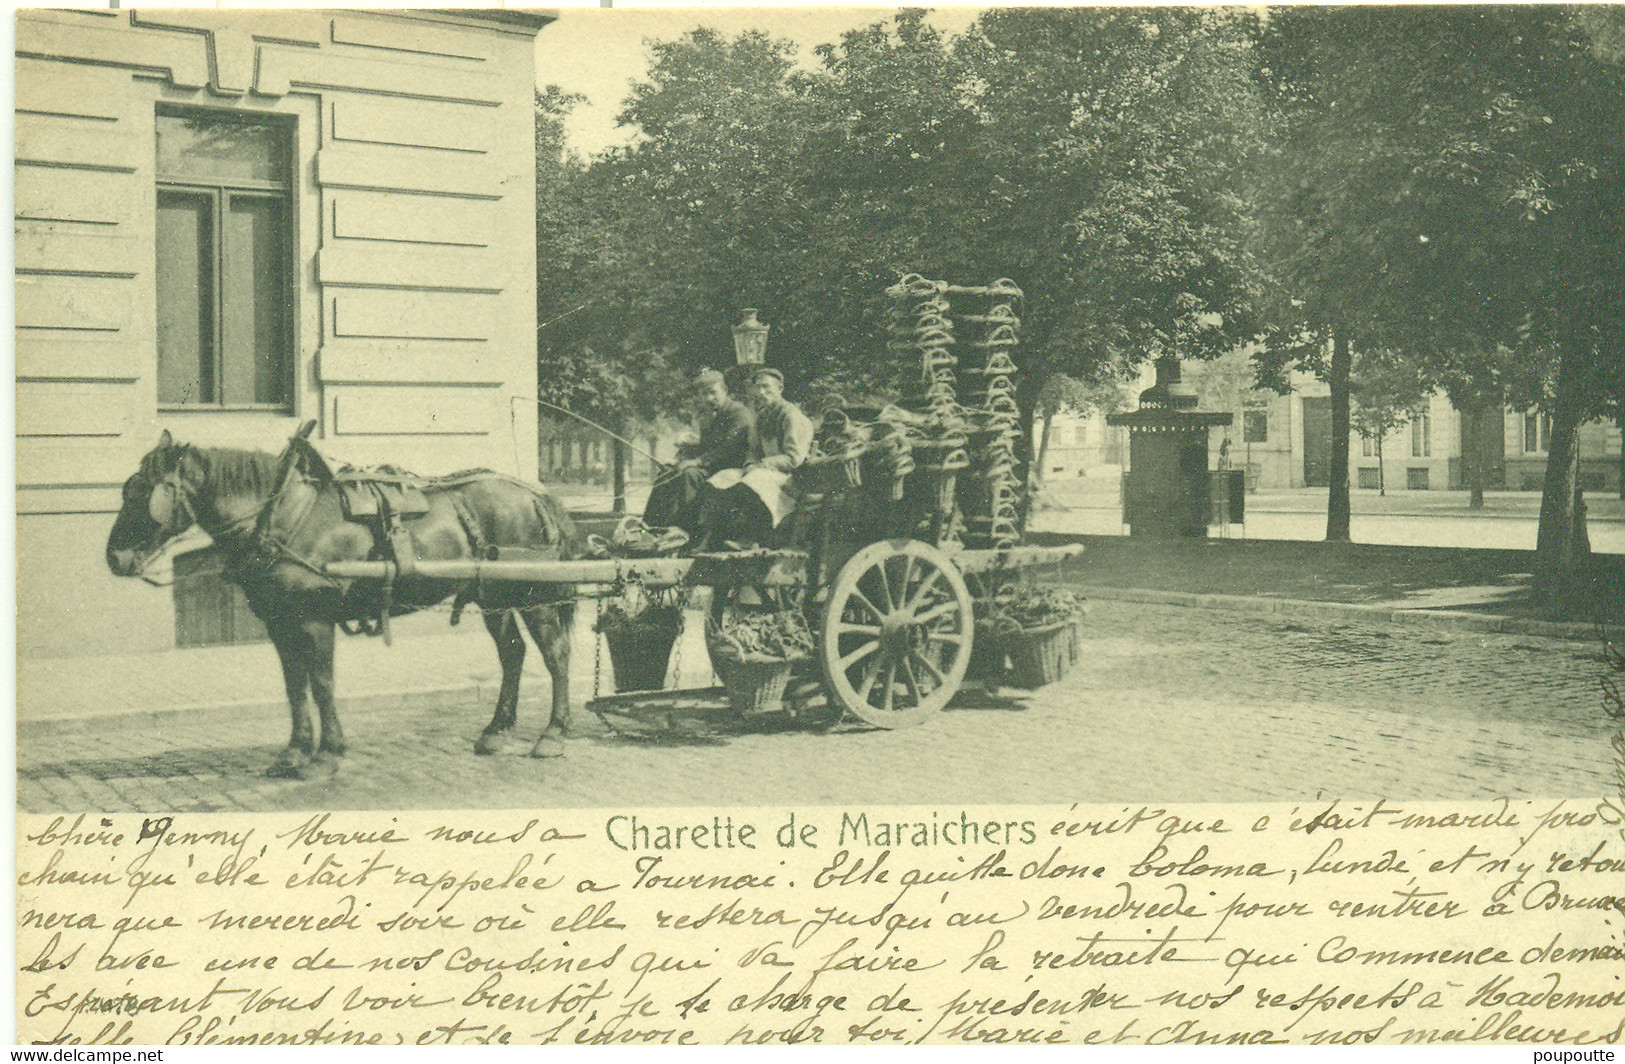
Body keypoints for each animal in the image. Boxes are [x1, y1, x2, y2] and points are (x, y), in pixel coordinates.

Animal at [104, 428, 585, 779]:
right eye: (128, 489)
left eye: (143, 493)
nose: (114, 557)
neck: (284, 517)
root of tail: (535, 494)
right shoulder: (281, 623)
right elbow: (294, 687)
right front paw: (294, 752)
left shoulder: (315, 620)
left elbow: (321, 684)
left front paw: (327, 753)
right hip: (493, 596)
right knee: (513, 654)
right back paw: (495, 731)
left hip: (534, 595)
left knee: (556, 654)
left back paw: (553, 734)